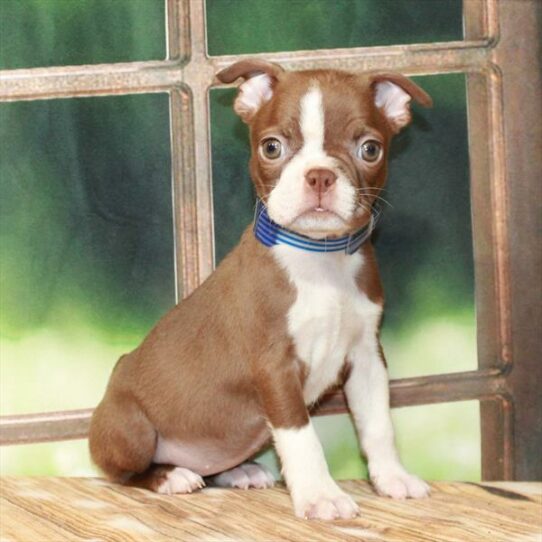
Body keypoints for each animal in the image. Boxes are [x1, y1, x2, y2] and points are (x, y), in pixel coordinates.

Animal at [91, 59, 436, 524]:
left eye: (370, 149)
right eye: (271, 148)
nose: (320, 175)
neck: (321, 262)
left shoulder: (367, 357)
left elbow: (378, 423)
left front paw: (392, 478)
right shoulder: (275, 368)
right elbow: (302, 436)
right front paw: (320, 495)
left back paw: (238, 471)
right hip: (131, 427)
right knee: (122, 473)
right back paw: (171, 475)